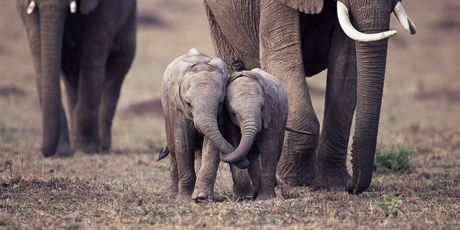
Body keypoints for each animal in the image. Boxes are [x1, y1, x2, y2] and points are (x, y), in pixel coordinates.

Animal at [18, 0, 137, 156]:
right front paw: (62, 151)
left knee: (117, 69)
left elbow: (92, 56)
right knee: (72, 75)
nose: (41, 151)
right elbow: (39, 55)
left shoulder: (106, 8)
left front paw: (86, 150)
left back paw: (103, 146)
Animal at [192, 68, 290, 201]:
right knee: (252, 155)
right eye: (233, 113)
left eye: (262, 108)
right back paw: (256, 192)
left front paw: (265, 198)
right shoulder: (230, 122)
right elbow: (236, 143)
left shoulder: (272, 114)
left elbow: (269, 148)